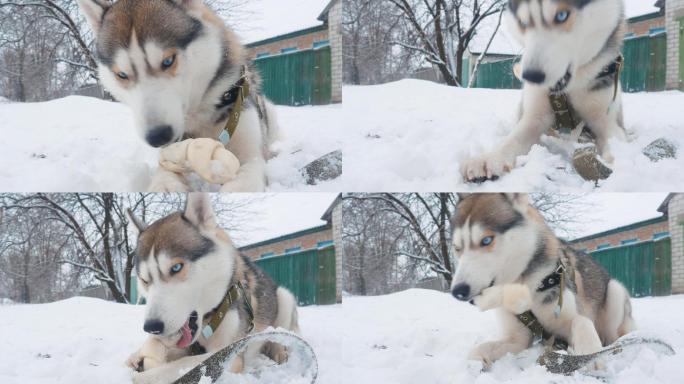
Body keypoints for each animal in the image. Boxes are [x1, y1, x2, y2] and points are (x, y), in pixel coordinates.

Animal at [79, 0, 280, 192]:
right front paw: (165, 185)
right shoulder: (171, 151)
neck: (199, 117)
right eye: (121, 75)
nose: (158, 136)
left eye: (168, 61)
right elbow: (164, 172)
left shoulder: (250, 151)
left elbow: (247, 175)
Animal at [125, 195, 300, 384]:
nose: (152, 327)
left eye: (176, 268)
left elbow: (181, 365)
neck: (208, 320)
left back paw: (278, 351)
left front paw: (143, 375)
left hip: (284, 298)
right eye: (144, 280)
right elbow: (152, 346)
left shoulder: (230, 354)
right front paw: (138, 355)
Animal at [452, 195, 632, 366]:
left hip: (615, 292)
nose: (458, 291)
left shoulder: (568, 319)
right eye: (457, 248)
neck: (524, 289)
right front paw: (474, 363)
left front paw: (590, 355)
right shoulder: (517, 338)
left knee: (615, 336)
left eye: (486, 240)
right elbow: (480, 348)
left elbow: (581, 321)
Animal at [462, 0, 628, 182]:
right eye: (522, 23)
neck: (569, 87)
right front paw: (490, 158)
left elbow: (616, 145)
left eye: (561, 15)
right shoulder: (534, 117)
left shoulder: (607, 121)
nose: (530, 76)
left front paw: (620, 168)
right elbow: (512, 140)